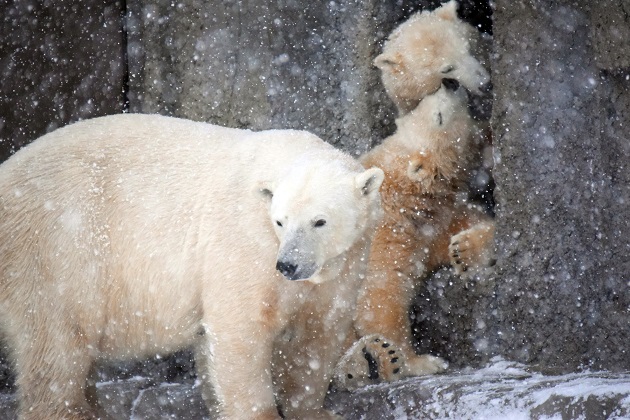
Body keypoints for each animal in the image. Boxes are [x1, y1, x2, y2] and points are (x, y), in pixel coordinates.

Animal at [0, 113, 386, 418]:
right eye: (280, 221)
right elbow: (241, 331)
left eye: (320, 221)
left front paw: (315, 411)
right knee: (59, 337)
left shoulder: (346, 263)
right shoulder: (244, 242)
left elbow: (319, 333)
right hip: (59, 244)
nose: (288, 265)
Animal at [334, 82, 496, 390]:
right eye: (439, 116)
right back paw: (360, 363)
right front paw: (414, 361)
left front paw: (464, 251)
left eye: (423, 102)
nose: (450, 83)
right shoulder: (385, 230)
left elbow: (472, 226)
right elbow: (381, 291)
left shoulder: (436, 220)